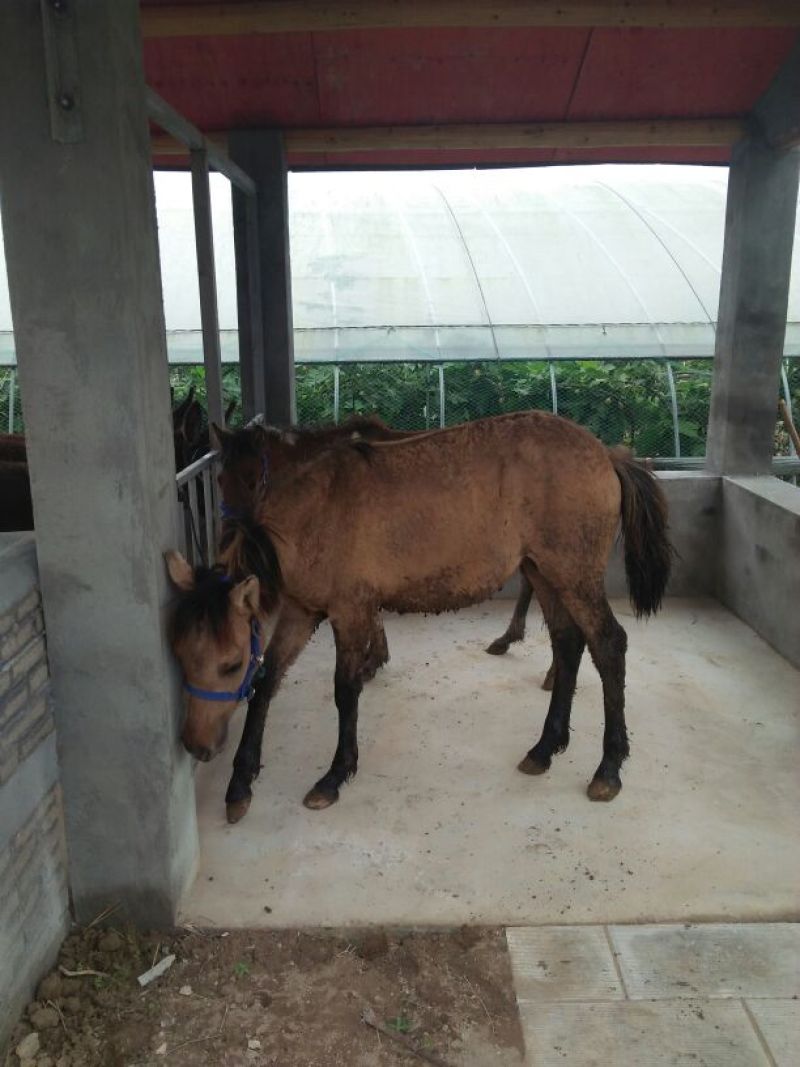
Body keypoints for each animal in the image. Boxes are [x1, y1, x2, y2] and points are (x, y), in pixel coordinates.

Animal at [166, 410, 672, 825]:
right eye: (182, 657)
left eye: (230, 663)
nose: (196, 745)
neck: (314, 507)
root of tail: (606, 453)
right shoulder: (303, 609)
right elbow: (267, 681)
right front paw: (240, 783)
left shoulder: (349, 610)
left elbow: (344, 690)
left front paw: (335, 774)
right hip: (543, 573)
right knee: (567, 645)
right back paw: (545, 747)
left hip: (573, 575)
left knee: (608, 645)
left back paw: (608, 767)